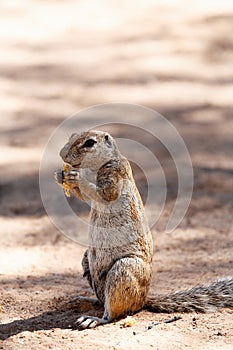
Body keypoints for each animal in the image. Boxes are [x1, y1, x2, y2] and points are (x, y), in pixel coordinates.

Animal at [55, 130, 233, 330]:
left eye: (89, 143)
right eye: (72, 135)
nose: (62, 154)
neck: (93, 168)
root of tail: (144, 300)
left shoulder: (115, 172)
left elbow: (106, 194)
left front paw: (76, 177)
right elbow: (85, 197)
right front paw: (60, 176)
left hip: (124, 269)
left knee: (113, 312)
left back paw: (94, 318)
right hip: (87, 260)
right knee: (101, 296)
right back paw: (86, 299)